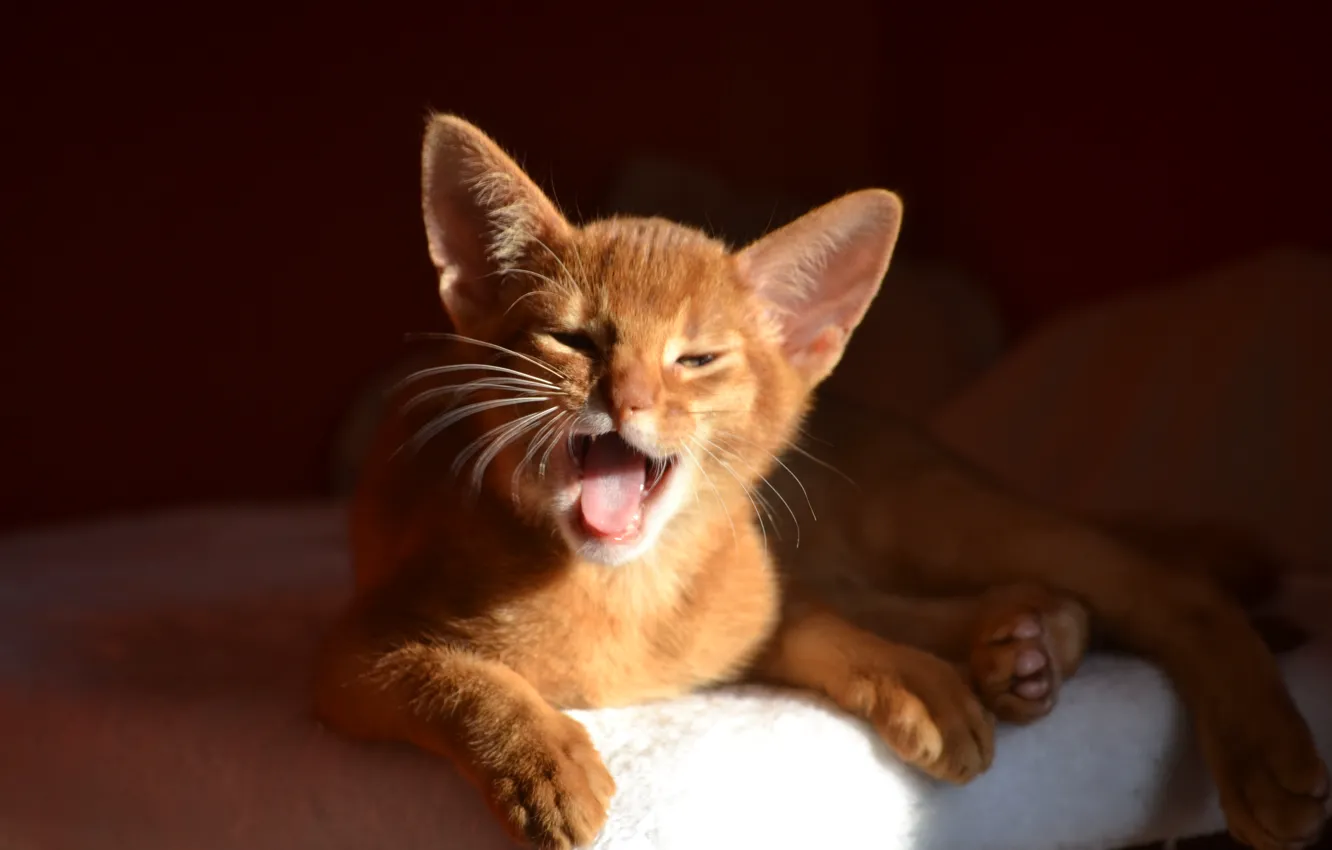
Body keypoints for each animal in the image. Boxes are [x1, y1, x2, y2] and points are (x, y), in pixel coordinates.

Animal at [314, 114, 1332, 850]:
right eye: (572, 340)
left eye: (695, 358)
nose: (625, 394)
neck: (624, 598)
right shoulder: (352, 650)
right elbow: (452, 676)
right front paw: (542, 758)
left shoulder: (760, 600)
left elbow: (810, 627)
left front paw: (912, 681)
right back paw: (1022, 642)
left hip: (945, 518)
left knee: (1166, 585)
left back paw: (1249, 745)